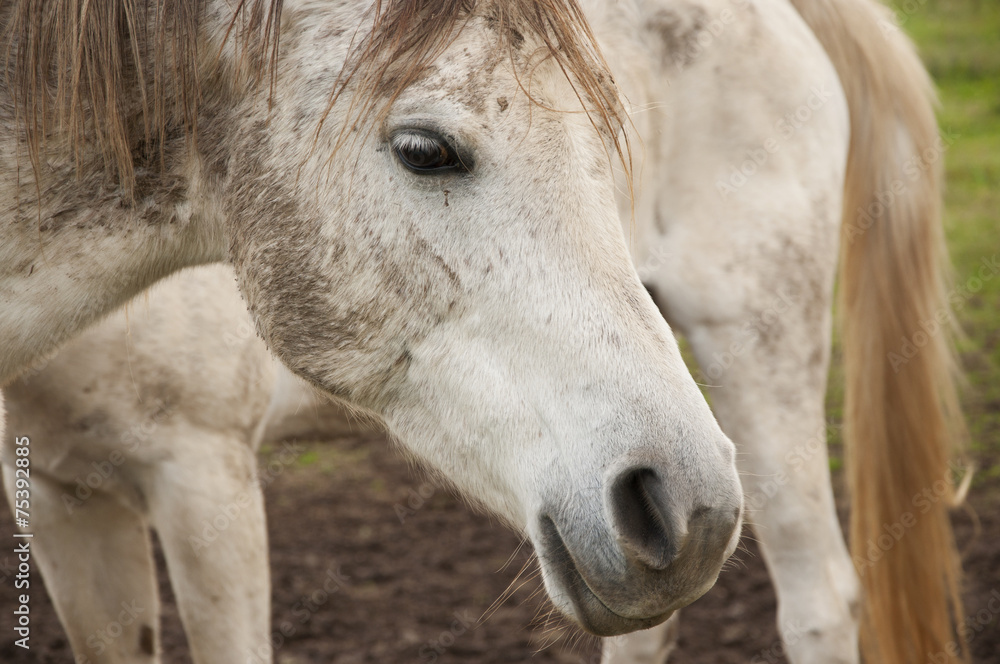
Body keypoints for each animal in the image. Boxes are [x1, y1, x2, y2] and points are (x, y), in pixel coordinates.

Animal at [1, 1, 968, 664]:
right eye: (426, 150)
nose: (676, 504)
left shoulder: (204, 473)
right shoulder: (64, 496)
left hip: (759, 343)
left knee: (820, 597)